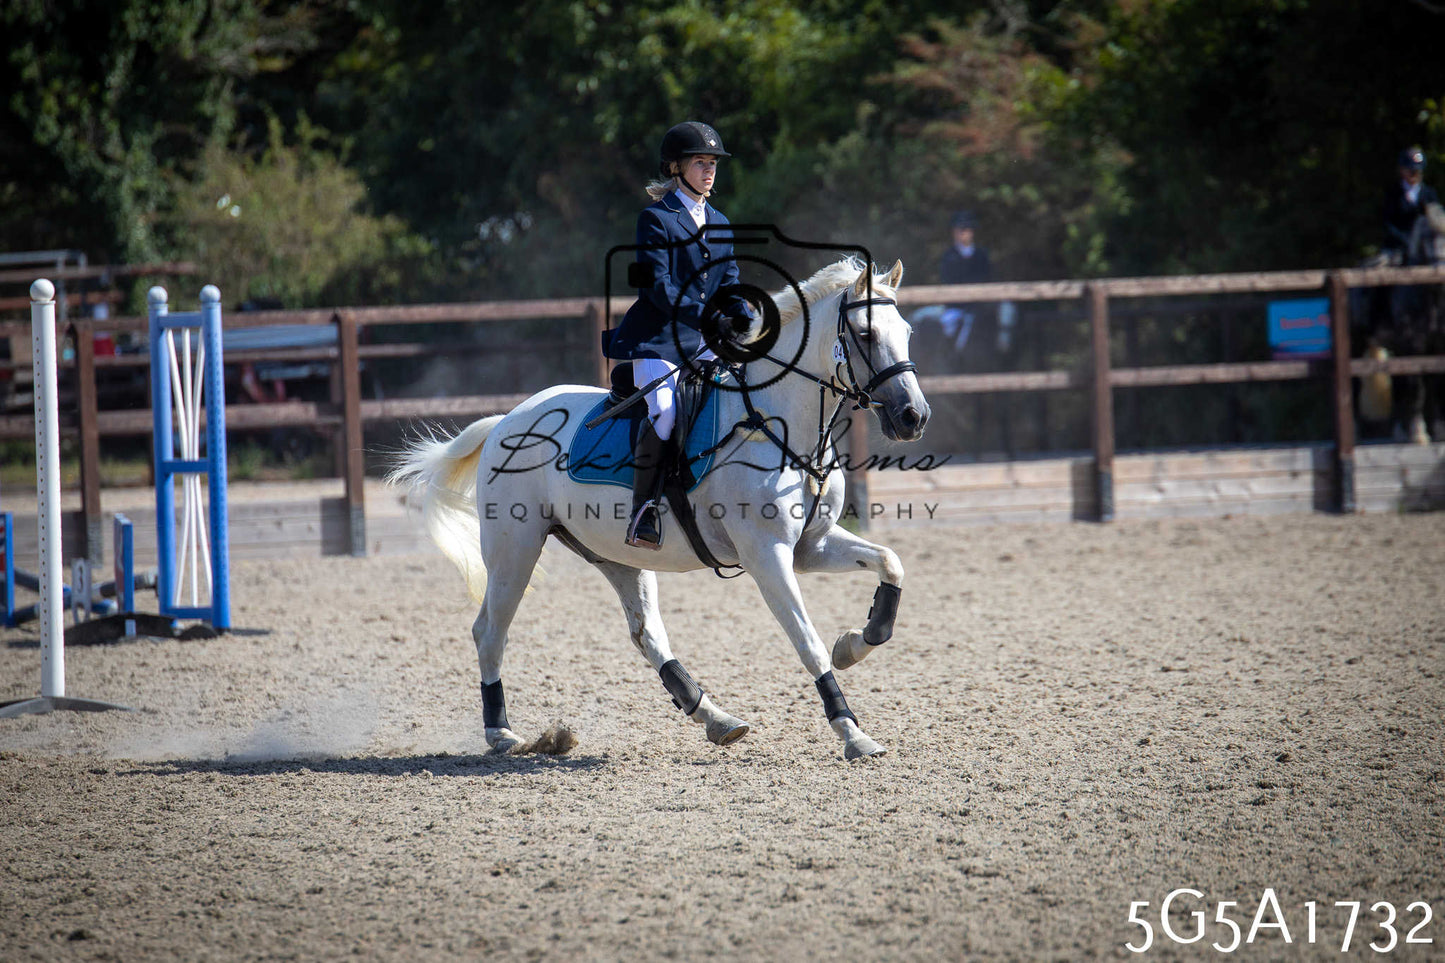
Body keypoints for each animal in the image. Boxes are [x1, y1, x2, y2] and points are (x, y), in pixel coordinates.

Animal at [388, 257, 931, 760]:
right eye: (865, 334)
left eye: (906, 333)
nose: (913, 417)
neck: (777, 424)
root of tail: (506, 419)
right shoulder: (767, 555)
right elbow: (807, 641)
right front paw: (852, 732)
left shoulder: (810, 546)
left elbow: (890, 564)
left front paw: (856, 643)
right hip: (514, 550)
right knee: (489, 631)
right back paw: (501, 733)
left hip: (617, 555)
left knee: (646, 634)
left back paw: (715, 717)